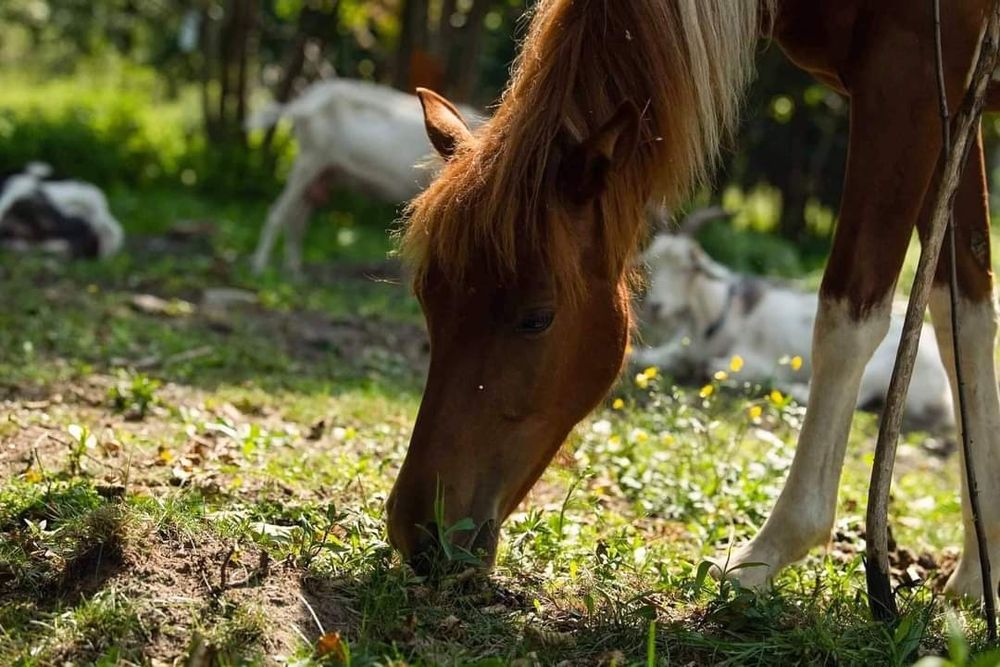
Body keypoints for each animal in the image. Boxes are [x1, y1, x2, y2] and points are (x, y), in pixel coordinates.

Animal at [244, 79, 478, 276]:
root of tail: (301, 105)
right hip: (309, 159)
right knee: (278, 212)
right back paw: (258, 268)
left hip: (322, 173)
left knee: (297, 217)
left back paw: (294, 271)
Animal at [632, 232, 952, 430]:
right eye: (650, 267)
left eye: (688, 269)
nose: (656, 306)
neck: (727, 310)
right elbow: (646, 357)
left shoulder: (755, 358)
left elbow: (711, 368)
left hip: (879, 368)